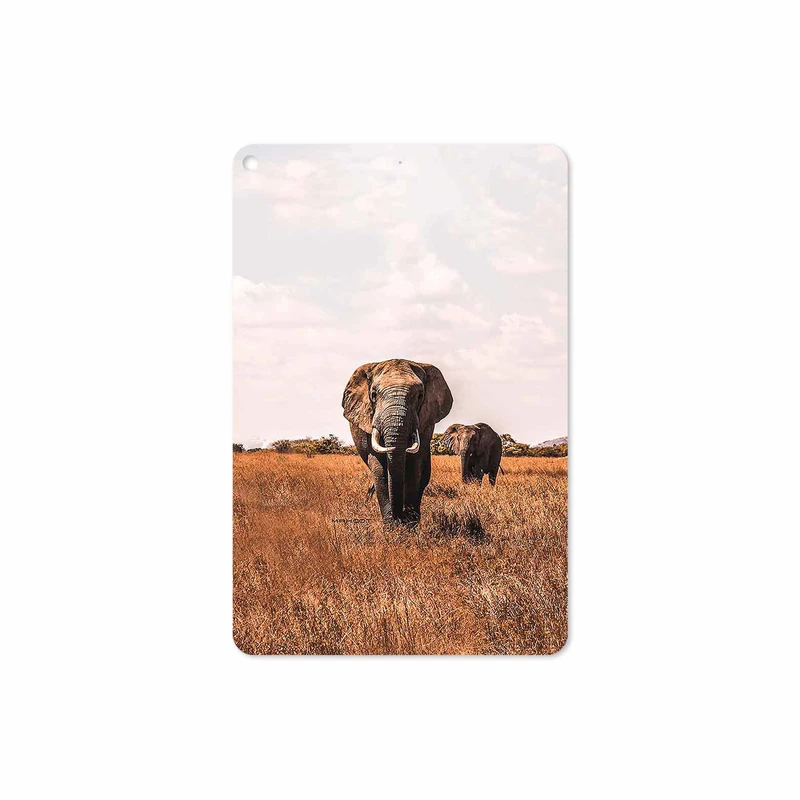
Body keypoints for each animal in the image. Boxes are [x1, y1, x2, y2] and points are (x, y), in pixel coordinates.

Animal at [342, 359, 453, 526]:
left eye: (420, 395)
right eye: (373, 395)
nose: (399, 517)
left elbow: (415, 464)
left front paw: (409, 524)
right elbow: (379, 467)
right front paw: (391, 526)